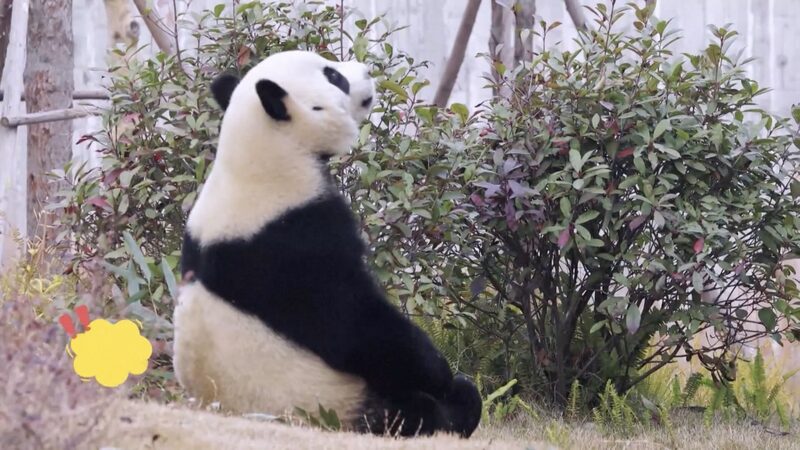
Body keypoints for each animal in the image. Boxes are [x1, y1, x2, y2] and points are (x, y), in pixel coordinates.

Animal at [173, 50, 482, 438]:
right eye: (334, 76)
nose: (367, 71)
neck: (262, 158)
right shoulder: (293, 245)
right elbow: (356, 325)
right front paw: (439, 372)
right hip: (337, 403)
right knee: (424, 409)